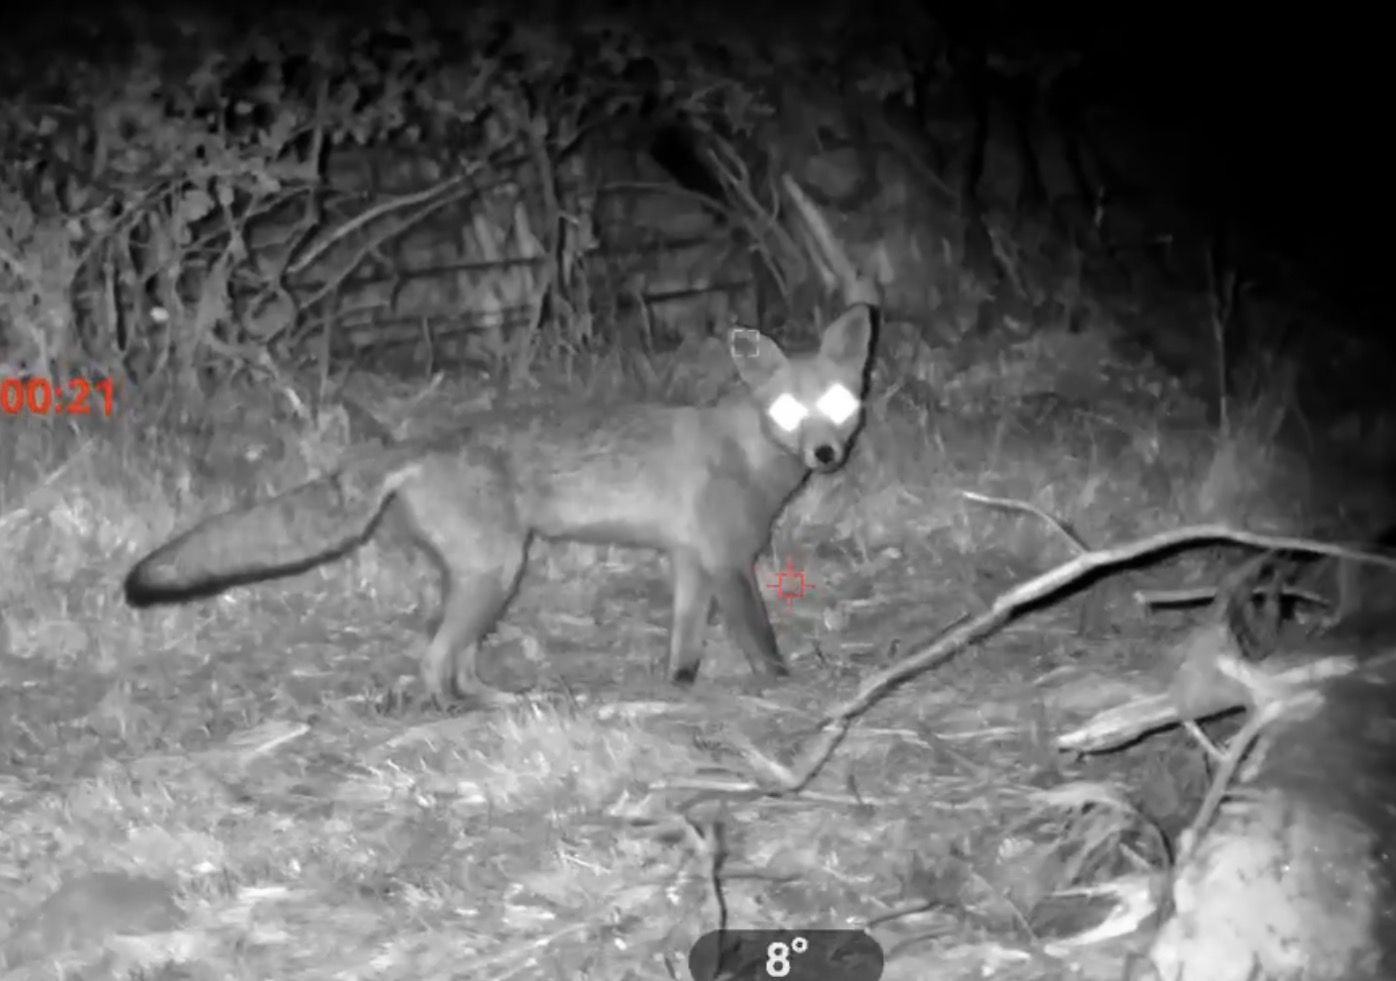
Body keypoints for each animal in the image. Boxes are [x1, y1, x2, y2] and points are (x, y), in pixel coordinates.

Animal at [123, 302, 877, 705]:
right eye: (790, 410)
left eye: (839, 406)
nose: (825, 455)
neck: (747, 449)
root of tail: (414, 443)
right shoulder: (726, 561)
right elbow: (760, 639)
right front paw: (786, 684)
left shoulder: (691, 561)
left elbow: (684, 644)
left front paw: (679, 684)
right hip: (499, 571)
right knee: (433, 662)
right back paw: (454, 709)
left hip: (485, 580)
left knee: (456, 660)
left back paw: (500, 700)